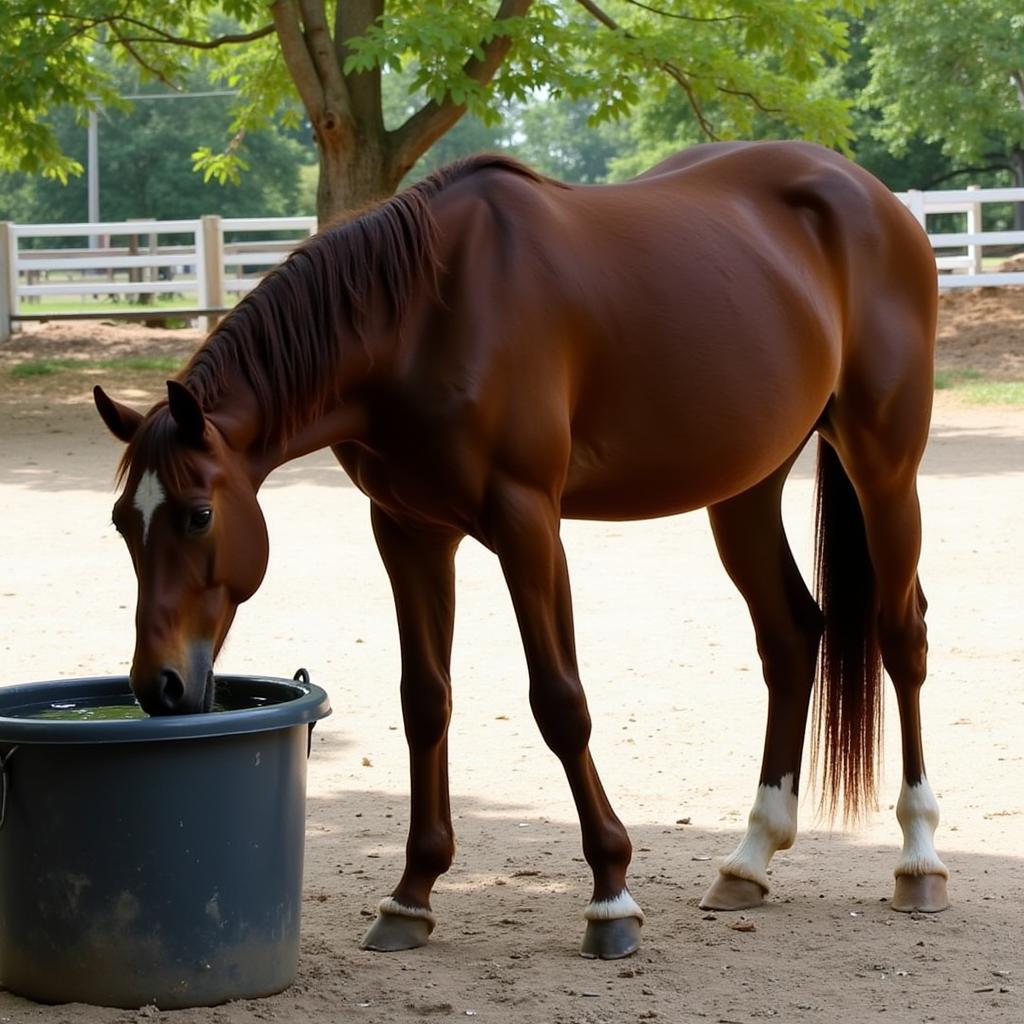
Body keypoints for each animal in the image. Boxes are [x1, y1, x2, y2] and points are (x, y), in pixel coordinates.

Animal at [92, 142, 946, 958]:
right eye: (122, 523)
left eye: (199, 516)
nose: (158, 686)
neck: (425, 315)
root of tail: (872, 198)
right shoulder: (407, 530)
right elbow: (425, 701)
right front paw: (411, 895)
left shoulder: (527, 521)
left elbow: (560, 702)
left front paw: (611, 895)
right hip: (744, 488)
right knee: (792, 634)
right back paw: (750, 859)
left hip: (884, 464)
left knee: (901, 636)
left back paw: (919, 859)